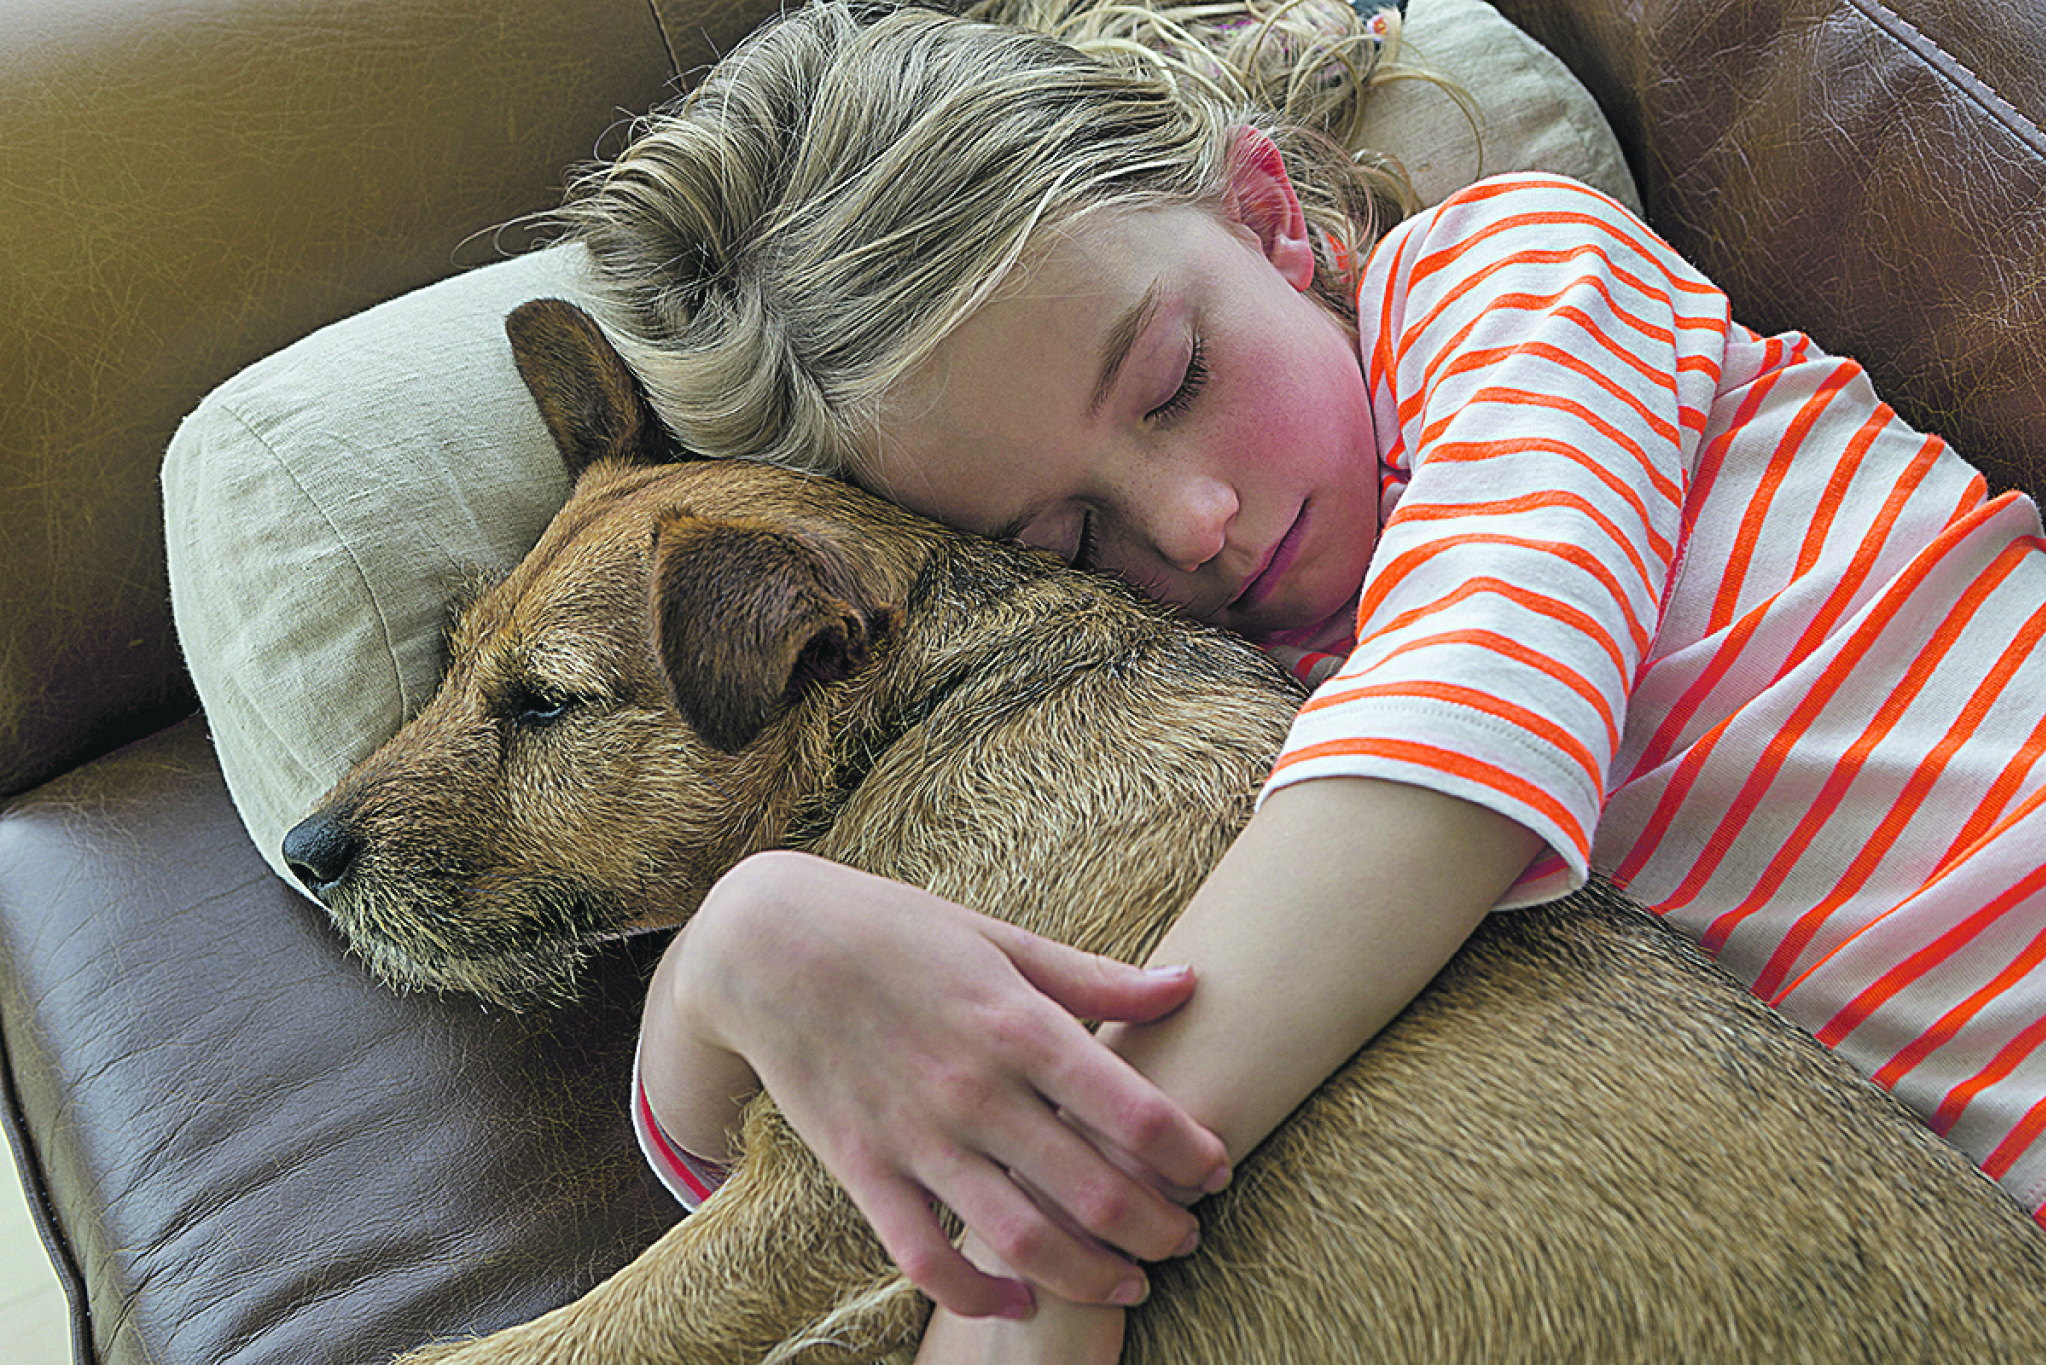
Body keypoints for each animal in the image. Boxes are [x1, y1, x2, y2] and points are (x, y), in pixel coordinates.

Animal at [284, 300, 2046, 1365]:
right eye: (453, 654)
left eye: (546, 705)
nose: (306, 853)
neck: (932, 704)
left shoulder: (831, 1193)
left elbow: (535, 1341)